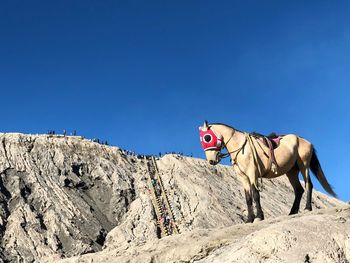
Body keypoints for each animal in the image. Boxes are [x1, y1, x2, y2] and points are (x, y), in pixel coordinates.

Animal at [198, 121, 338, 223]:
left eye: (207, 137)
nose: (211, 160)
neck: (241, 147)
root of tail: (305, 141)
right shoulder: (243, 177)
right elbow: (248, 197)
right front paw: (249, 219)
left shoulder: (252, 173)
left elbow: (255, 194)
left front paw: (259, 217)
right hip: (291, 171)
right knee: (299, 190)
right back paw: (292, 212)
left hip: (304, 165)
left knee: (308, 184)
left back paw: (307, 208)